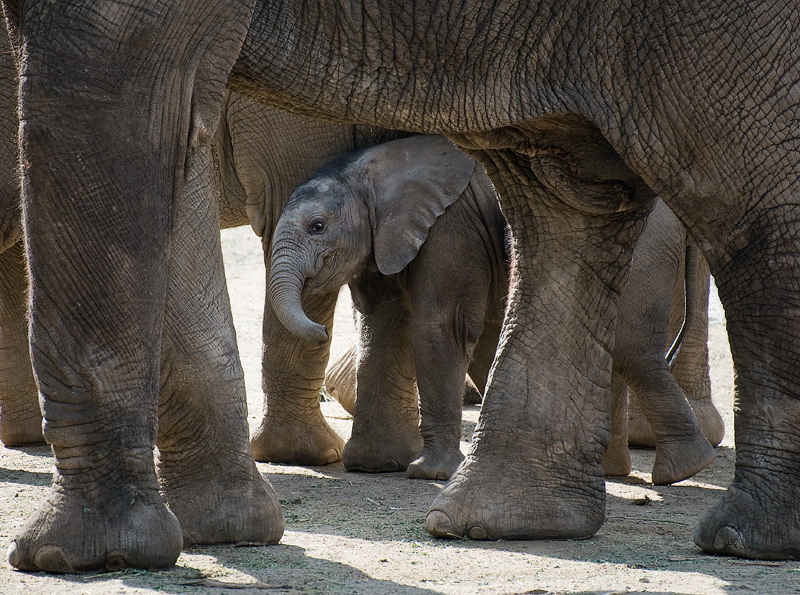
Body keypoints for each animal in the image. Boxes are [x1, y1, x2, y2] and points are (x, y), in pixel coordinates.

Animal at [268, 135, 506, 480]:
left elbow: (441, 327)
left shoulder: (452, 226)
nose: (323, 330)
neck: (370, 174)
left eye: (317, 226)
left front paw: (432, 474)